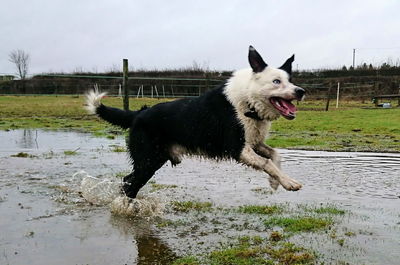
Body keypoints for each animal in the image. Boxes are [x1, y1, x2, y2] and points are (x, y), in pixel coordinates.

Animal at [84, 46, 304, 198]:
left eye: (290, 80)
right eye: (276, 81)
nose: (301, 91)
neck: (248, 101)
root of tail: (139, 114)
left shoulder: (255, 143)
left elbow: (275, 155)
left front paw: (275, 182)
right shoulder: (238, 148)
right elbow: (267, 162)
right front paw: (289, 183)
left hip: (155, 159)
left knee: (129, 181)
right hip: (147, 160)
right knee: (130, 183)